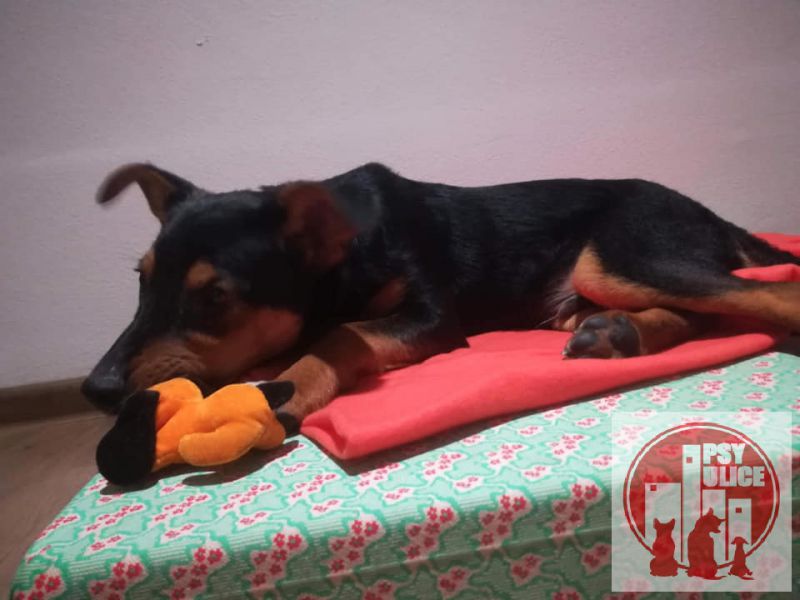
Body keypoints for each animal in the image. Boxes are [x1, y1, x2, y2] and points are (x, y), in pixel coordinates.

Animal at [82, 162, 800, 432]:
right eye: (142, 279)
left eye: (215, 295)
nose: (96, 390)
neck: (348, 249)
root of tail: (711, 216)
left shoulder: (431, 315)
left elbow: (341, 333)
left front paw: (291, 390)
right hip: (604, 276)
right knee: (698, 312)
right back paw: (613, 333)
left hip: (618, 254)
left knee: (767, 296)